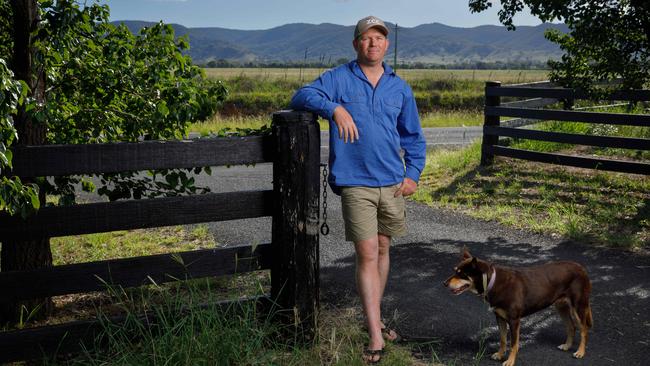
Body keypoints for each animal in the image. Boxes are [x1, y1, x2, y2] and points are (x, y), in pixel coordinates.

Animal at [442, 249, 588, 366]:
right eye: (455, 271)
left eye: (461, 274)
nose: (444, 283)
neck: (492, 282)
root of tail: (581, 267)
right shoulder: (500, 317)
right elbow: (502, 339)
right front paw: (500, 355)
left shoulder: (514, 320)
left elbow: (513, 344)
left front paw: (510, 361)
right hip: (561, 306)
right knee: (571, 327)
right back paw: (567, 346)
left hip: (578, 307)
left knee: (583, 329)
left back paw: (580, 352)